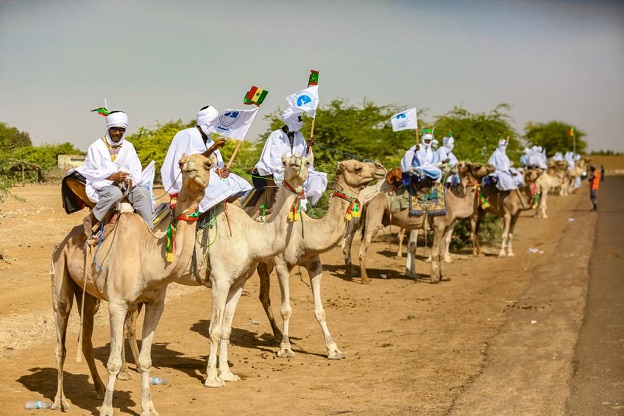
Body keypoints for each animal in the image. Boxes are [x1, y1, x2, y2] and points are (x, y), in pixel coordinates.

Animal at [50, 141, 224, 416]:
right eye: (181, 164)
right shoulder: (118, 305)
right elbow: (112, 361)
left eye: (208, 163)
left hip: (90, 295)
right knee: (61, 338)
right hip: (61, 276)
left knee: (85, 338)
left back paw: (98, 388)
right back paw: (60, 401)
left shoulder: (155, 305)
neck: (148, 258)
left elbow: (145, 360)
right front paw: (107, 409)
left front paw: (148, 407)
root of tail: (63, 241)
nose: (192, 172)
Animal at [255, 159, 386, 358]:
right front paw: (286, 348)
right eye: (357, 167)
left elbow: (320, 311)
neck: (306, 235)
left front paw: (334, 349)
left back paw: (276, 334)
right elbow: (286, 309)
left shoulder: (315, 265)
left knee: (263, 296)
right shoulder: (282, 265)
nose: (380, 167)